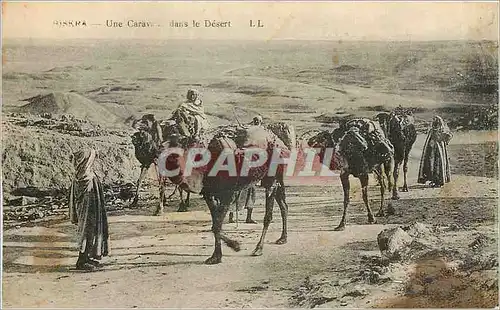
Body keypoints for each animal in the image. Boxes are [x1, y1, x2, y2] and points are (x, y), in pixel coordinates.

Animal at [158, 126, 292, 264]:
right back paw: (283, 238)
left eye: (178, 144)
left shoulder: (229, 193)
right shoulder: (209, 194)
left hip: (272, 176)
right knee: (283, 205)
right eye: (166, 140)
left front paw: (235, 246)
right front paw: (217, 255)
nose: (160, 148)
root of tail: (281, 142)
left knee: (269, 213)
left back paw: (259, 248)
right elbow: (215, 225)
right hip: (276, 178)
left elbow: (216, 226)